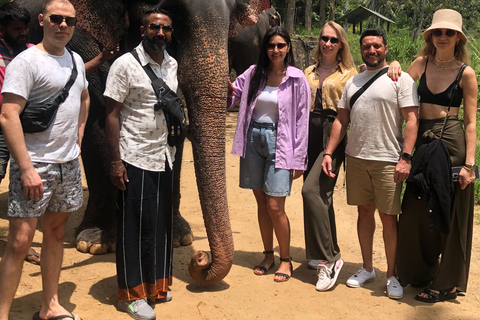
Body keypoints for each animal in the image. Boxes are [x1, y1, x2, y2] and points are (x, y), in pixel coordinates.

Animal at [17, 0, 270, 284]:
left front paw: (179, 237)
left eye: (232, 18)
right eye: (171, 11)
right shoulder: (80, 35)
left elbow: (175, 120)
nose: (201, 259)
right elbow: (99, 113)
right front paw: (95, 243)